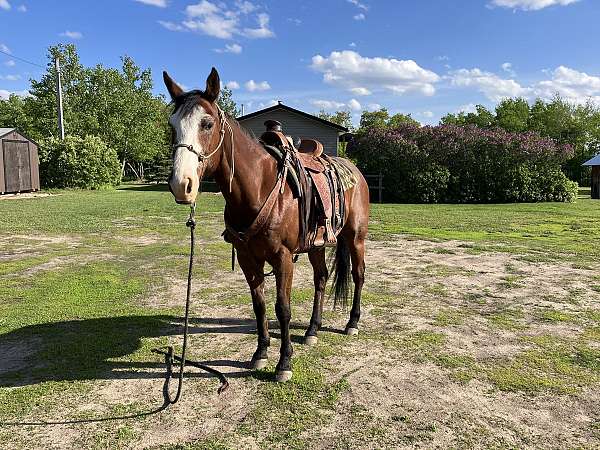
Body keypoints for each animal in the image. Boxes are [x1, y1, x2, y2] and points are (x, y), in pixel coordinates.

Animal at [165, 67, 370, 384]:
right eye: (172, 126)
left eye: (207, 124)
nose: (181, 185)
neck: (258, 188)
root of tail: (354, 170)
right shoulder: (249, 258)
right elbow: (259, 304)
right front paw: (260, 352)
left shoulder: (283, 258)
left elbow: (282, 308)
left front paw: (284, 362)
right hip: (317, 245)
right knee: (321, 278)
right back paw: (312, 329)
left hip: (355, 237)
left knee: (358, 275)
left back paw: (352, 323)